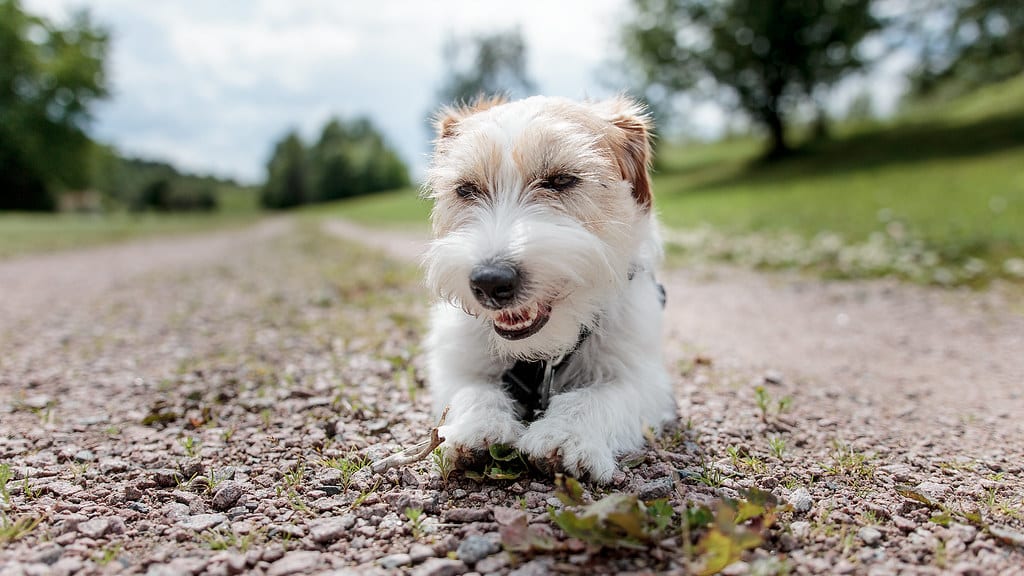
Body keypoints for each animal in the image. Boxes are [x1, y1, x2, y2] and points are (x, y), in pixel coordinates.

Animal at [419, 94, 675, 479]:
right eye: (466, 189)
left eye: (561, 179)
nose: (489, 281)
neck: (542, 355)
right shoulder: (455, 365)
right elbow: (474, 391)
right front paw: (473, 427)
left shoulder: (643, 378)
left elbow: (598, 397)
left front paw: (566, 434)